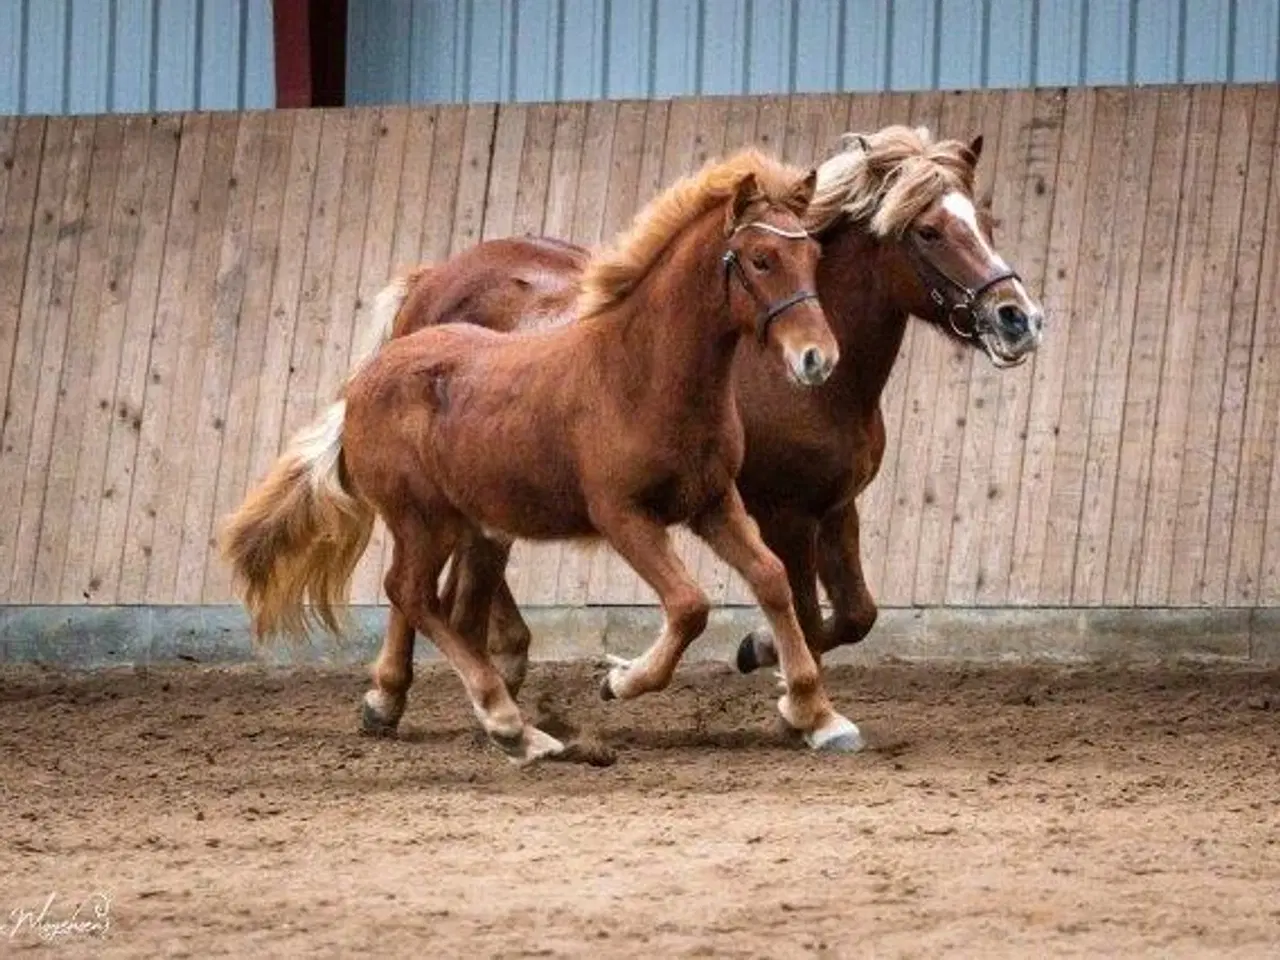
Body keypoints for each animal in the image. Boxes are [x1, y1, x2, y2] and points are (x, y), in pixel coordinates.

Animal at [222, 148, 870, 768]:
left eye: (813, 253)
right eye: (760, 259)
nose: (818, 358)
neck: (641, 375)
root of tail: (363, 380)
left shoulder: (713, 502)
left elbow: (771, 579)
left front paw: (817, 714)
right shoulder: (622, 516)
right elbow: (690, 606)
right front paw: (619, 680)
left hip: (468, 524)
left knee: (448, 608)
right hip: (422, 520)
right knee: (411, 593)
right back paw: (508, 726)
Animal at [335, 124, 1044, 737]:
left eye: (986, 223)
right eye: (928, 231)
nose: (1019, 319)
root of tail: (430, 281)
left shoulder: (835, 506)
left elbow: (854, 614)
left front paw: (767, 663)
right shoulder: (782, 512)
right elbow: (805, 610)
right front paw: (786, 692)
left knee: (461, 568)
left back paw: (501, 661)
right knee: (416, 582)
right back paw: (389, 694)